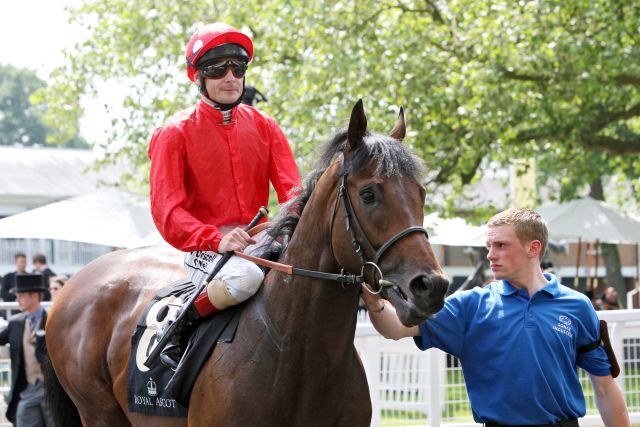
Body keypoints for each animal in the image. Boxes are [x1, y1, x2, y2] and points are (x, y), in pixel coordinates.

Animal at [45, 99, 448, 424]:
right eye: (368, 194)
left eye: (421, 193)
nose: (431, 285)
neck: (296, 355)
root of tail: (73, 285)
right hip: (98, 412)